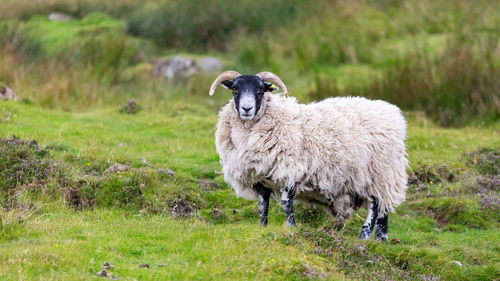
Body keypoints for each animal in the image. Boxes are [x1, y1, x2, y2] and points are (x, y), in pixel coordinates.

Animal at [209, 70, 408, 238]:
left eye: (261, 89)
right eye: (235, 89)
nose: (247, 109)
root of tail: (393, 114)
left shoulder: (290, 171)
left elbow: (286, 204)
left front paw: (291, 228)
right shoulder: (260, 179)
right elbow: (262, 206)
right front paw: (262, 228)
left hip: (379, 174)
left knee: (375, 206)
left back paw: (364, 238)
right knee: (383, 210)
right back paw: (379, 240)